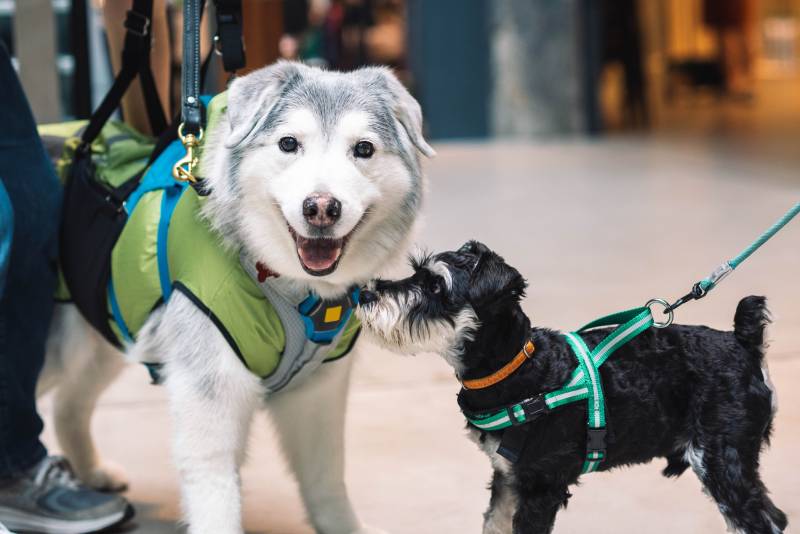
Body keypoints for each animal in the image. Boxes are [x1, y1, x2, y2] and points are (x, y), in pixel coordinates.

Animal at [39, 63, 432, 534]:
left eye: (364, 149)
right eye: (288, 143)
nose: (321, 207)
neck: (288, 288)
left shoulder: (319, 391)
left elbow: (326, 481)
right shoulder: (210, 389)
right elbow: (215, 493)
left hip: (102, 338)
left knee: (68, 403)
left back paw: (92, 472)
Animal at [360, 243, 784, 534]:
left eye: (435, 286)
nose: (364, 294)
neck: (519, 370)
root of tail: (744, 342)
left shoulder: (540, 487)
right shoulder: (507, 479)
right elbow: (494, 524)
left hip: (721, 461)